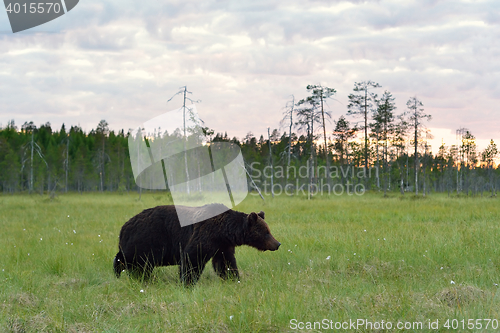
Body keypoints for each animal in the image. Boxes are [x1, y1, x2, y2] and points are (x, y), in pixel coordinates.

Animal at [112, 204, 282, 284]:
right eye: (266, 232)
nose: (277, 243)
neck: (224, 231)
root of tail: (124, 226)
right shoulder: (205, 235)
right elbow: (192, 258)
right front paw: (187, 282)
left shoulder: (222, 245)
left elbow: (225, 262)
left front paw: (233, 277)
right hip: (147, 239)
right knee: (137, 263)